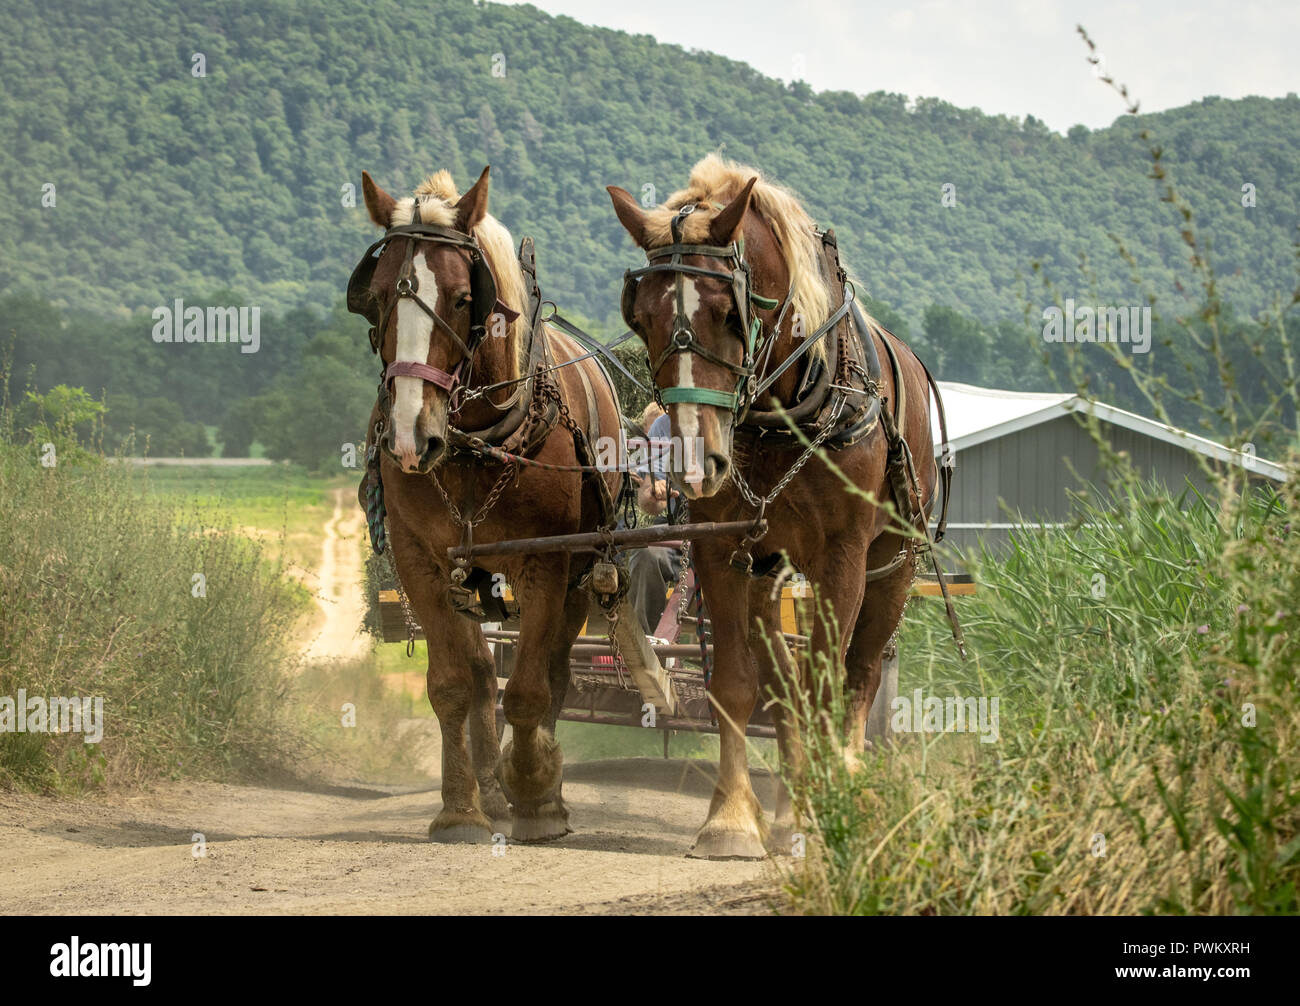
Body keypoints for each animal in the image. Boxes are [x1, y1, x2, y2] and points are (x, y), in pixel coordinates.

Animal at [353, 168, 621, 847]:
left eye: (460, 298)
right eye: (376, 297)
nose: (410, 438)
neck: (476, 442)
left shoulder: (545, 562)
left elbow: (528, 690)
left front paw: (536, 796)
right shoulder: (421, 561)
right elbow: (454, 684)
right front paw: (461, 809)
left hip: (579, 573)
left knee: (554, 674)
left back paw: (537, 788)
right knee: (479, 673)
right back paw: (490, 788)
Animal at [608, 155, 956, 857]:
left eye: (727, 312)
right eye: (642, 317)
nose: (695, 463)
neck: (784, 412)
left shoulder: (843, 556)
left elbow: (830, 683)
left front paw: (827, 807)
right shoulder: (722, 546)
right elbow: (738, 686)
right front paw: (731, 819)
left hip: (894, 565)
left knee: (860, 673)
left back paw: (842, 777)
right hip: (769, 568)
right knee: (782, 682)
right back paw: (790, 805)